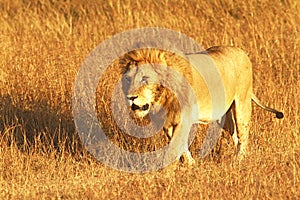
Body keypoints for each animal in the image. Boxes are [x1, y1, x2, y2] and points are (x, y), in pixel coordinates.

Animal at [119, 46, 284, 164]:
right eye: (127, 79)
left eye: (145, 78)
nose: (130, 97)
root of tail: (241, 51)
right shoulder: (167, 123)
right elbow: (179, 145)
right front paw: (190, 164)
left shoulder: (183, 120)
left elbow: (175, 146)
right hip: (224, 117)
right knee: (236, 136)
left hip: (241, 104)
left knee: (243, 134)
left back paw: (238, 162)